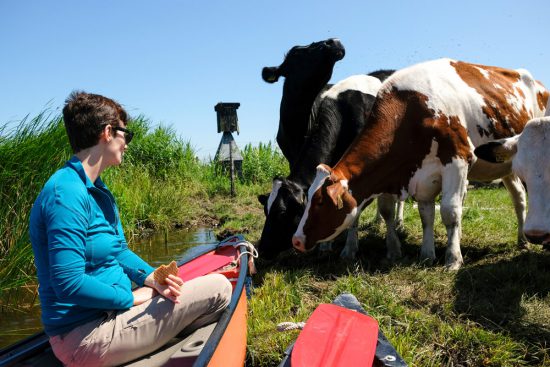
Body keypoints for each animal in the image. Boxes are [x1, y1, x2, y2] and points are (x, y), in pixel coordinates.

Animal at [258, 73, 406, 260]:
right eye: (265, 210)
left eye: (282, 213)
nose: (262, 250)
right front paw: (325, 245)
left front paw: (357, 249)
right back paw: (377, 220)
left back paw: (399, 222)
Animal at [292, 58, 548, 270]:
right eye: (306, 200)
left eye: (321, 202)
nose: (296, 240)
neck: (411, 109)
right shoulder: (418, 175)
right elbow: (425, 215)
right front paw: (424, 254)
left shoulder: (457, 161)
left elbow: (450, 212)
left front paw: (452, 259)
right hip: (507, 165)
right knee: (519, 197)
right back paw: (522, 240)